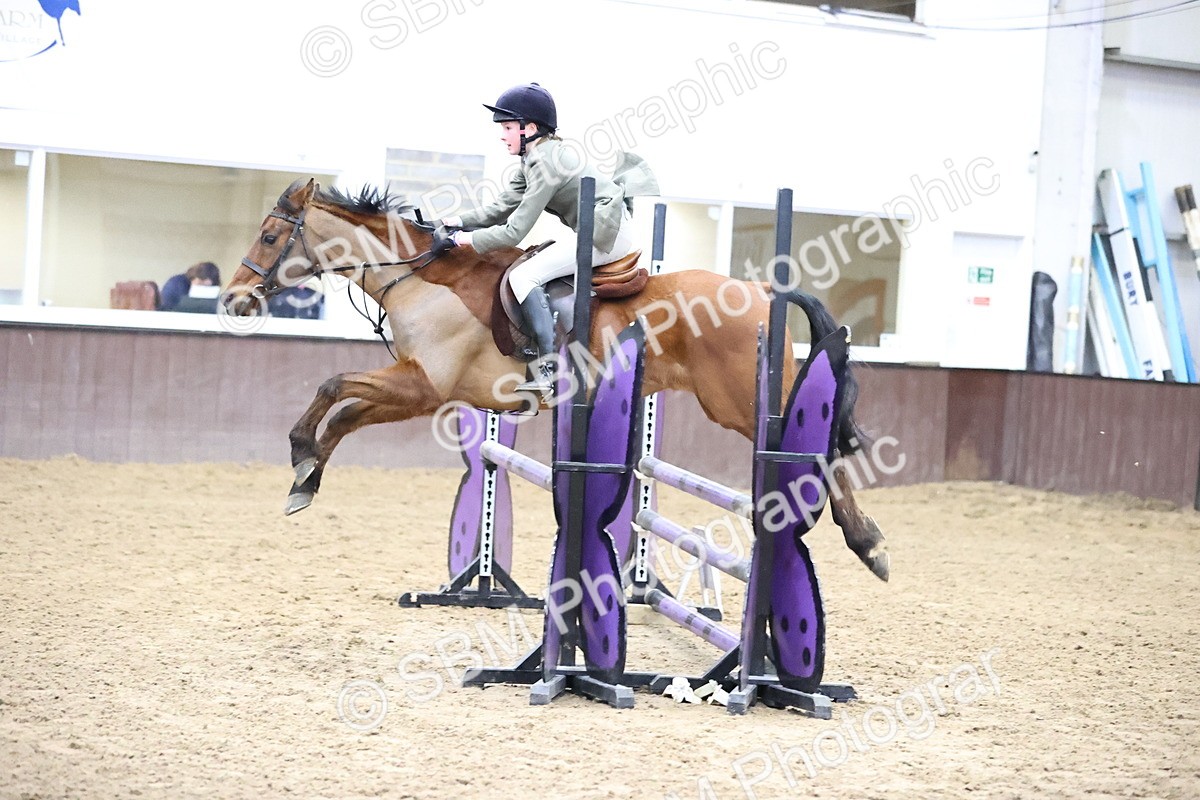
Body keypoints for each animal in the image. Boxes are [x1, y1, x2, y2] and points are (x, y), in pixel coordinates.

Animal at [221, 179, 889, 582]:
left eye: (272, 235)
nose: (233, 300)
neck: (420, 281)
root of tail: (762, 290)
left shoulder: (422, 387)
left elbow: (335, 387)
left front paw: (300, 455)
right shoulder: (420, 389)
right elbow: (344, 410)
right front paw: (306, 478)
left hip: (740, 403)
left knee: (820, 452)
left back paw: (869, 544)